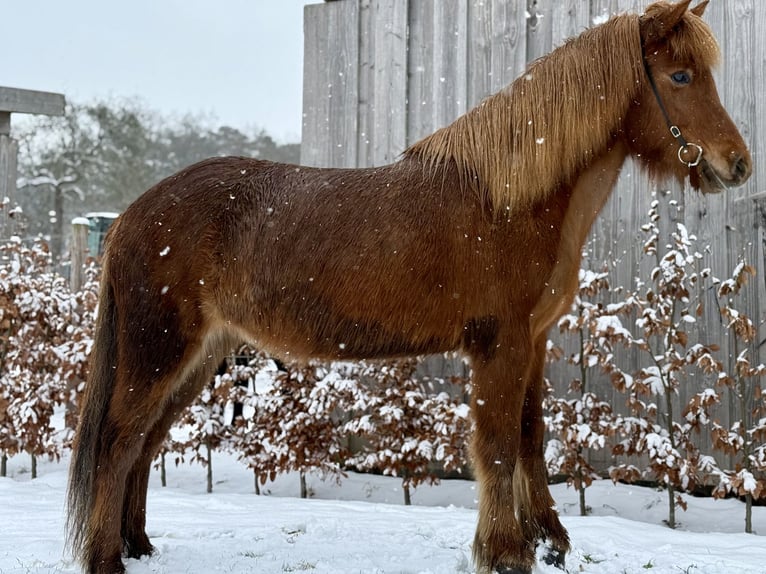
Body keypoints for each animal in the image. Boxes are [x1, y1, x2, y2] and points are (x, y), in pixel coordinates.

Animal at [67, 1, 750, 572]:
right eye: (680, 76)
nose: (737, 163)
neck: (510, 199)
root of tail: (131, 216)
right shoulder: (500, 346)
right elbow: (497, 446)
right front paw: (505, 553)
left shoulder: (535, 342)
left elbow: (531, 438)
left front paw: (548, 542)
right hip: (159, 351)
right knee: (117, 440)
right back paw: (106, 560)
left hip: (199, 359)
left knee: (144, 443)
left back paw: (139, 546)